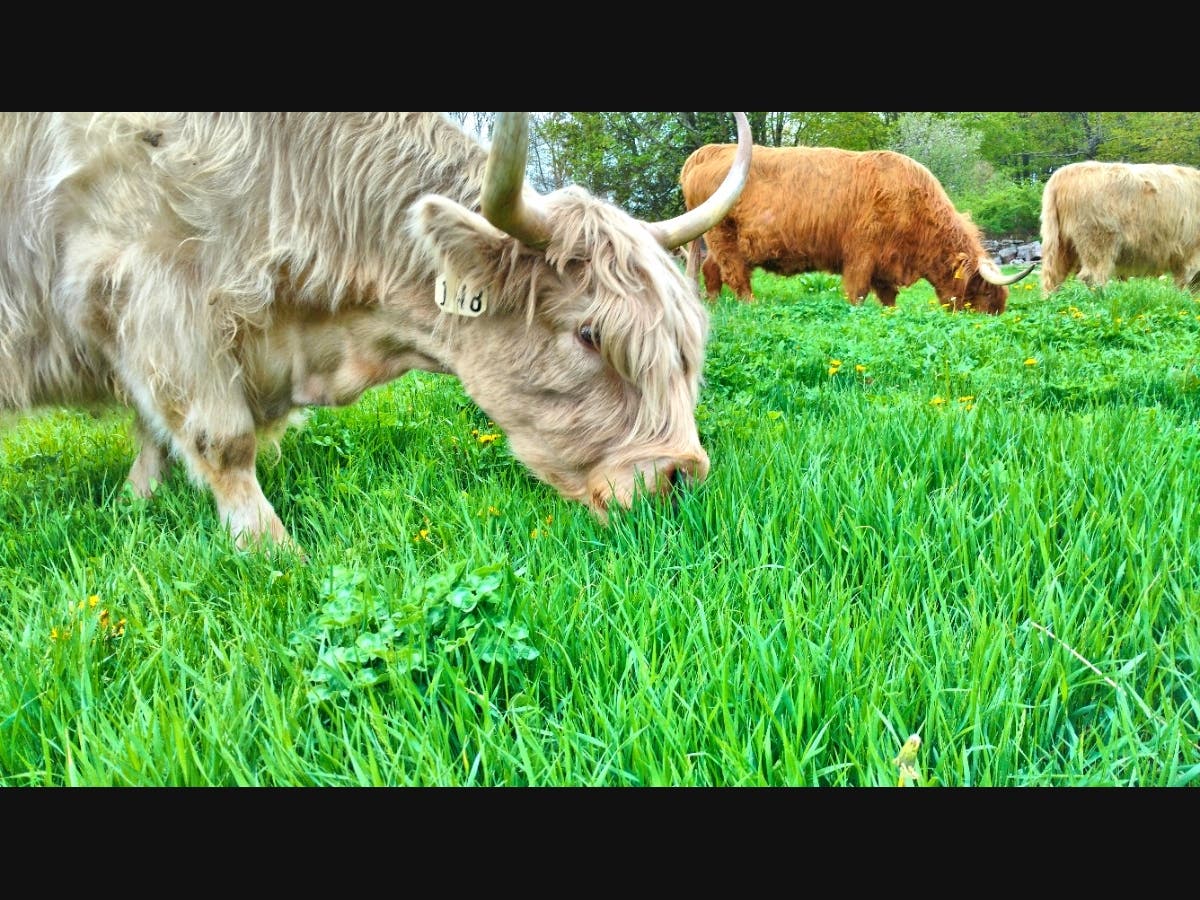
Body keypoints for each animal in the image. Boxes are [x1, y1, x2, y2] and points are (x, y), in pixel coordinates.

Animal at [0, 112, 752, 551]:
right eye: (589, 336)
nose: (681, 477)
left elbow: (154, 428)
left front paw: (138, 498)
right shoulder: (153, 288)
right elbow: (222, 440)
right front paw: (273, 553)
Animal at [679, 144, 1035, 313]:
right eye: (984, 291)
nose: (992, 317)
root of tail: (710, 150)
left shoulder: (885, 267)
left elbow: (889, 299)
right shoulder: (861, 257)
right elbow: (857, 294)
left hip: (721, 240)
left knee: (712, 271)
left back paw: (711, 306)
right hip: (724, 237)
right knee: (735, 276)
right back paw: (750, 307)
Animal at [1039, 160, 1200, 295]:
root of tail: (1060, 175)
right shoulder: (1191, 253)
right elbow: (1187, 282)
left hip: (1060, 243)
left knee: (1053, 276)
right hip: (1098, 240)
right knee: (1093, 276)